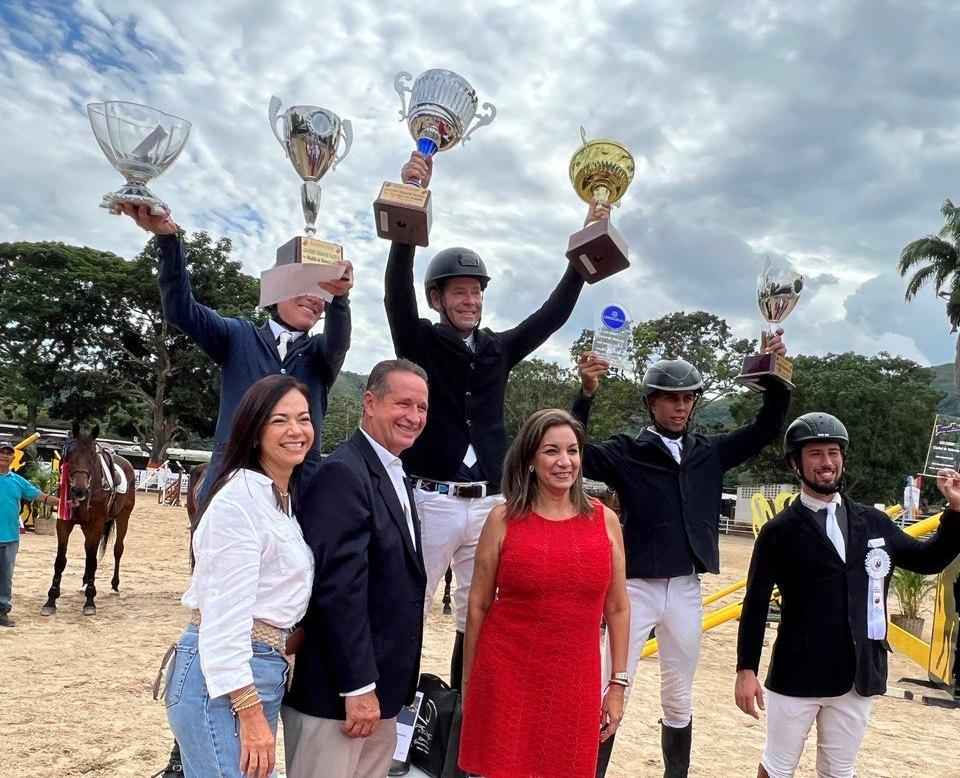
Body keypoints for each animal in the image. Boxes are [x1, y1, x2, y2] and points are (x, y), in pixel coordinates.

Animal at [42, 422, 136, 616]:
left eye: (93, 455)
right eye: (70, 453)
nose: (79, 490)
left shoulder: (96, 525)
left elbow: (93, 562)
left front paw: (90, 601)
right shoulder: (64, 523)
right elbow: (60, 560)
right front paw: (51, 600)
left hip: (123, 517)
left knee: (117, 549)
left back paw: (114, 586)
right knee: (88, 551)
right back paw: (85, 582)